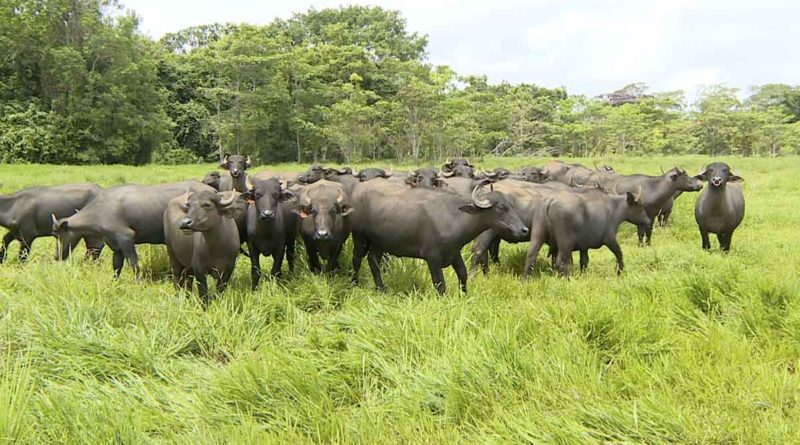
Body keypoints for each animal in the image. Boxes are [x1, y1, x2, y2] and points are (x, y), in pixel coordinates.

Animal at [52, 180, 212, 278]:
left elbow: (134, 264)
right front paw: (114, 282)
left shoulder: (126, 237)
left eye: (58, 234)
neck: (101, 210)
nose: (56, 256)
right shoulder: (116, 245)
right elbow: (117, 266)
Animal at [352, 179, 528, 294]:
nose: (524, 229)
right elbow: (440, 285)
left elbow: (463, 275)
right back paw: (355, 283)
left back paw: (381, 289)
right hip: (359, 236)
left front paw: (464, 295)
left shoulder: (454, 253)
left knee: (372, 260)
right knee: (357, 259)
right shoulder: (433, 258)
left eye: (511, 205)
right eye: (501, 207)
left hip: (379, 243)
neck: (454, 216)